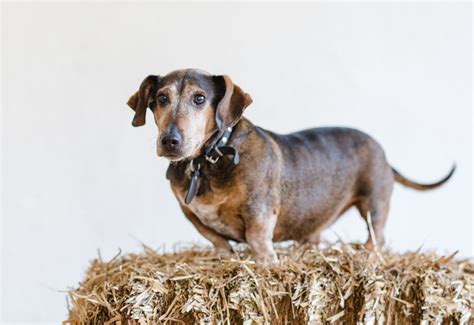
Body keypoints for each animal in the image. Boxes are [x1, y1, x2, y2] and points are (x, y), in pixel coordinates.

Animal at [126, 68, 456, 264]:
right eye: (161, 98)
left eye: (199, 98)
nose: (170, 141)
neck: (208, 160)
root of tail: (385, 155)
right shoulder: (192, 215)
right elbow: (217, 239)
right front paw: (225, 258)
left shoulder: (260, 211)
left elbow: (258, 239)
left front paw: (266, 264)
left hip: (374, 204)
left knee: (378, 236)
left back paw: (367, 253)